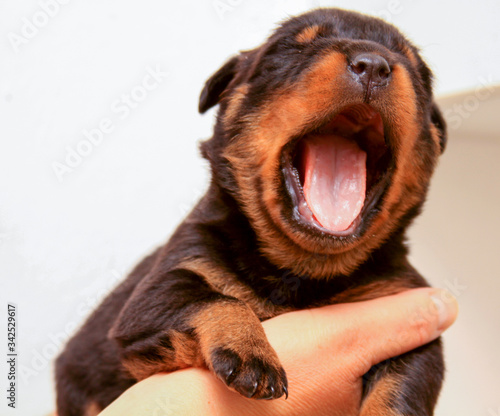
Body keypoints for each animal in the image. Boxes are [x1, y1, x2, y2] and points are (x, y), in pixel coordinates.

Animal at [56, 7, 448, 416]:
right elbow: (213, 298)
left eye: (418, 71)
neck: (301, 273)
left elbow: (400, 392)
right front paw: (251, 353)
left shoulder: (410, 320)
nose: (373, 64)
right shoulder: (152, 297)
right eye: (292, 48)